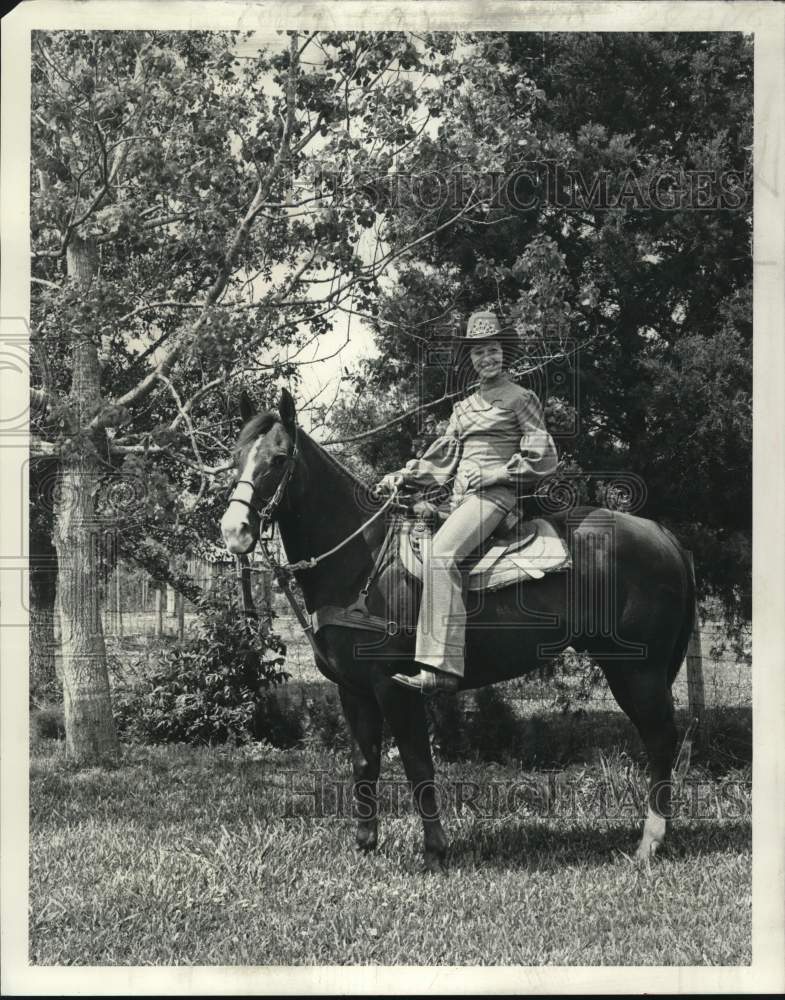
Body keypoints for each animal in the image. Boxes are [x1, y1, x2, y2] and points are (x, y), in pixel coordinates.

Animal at [219, 386, 692, 872]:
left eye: (278, 458)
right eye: (235, 457)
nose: (234, 530)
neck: (363, 563)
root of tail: (661, 534)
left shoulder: (395, 687)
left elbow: (417, 765)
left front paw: (434, 851)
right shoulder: (353, 689)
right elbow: (364, 763)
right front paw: (366, 844)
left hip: (638, 670)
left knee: (661, 740)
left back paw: (649, 843)